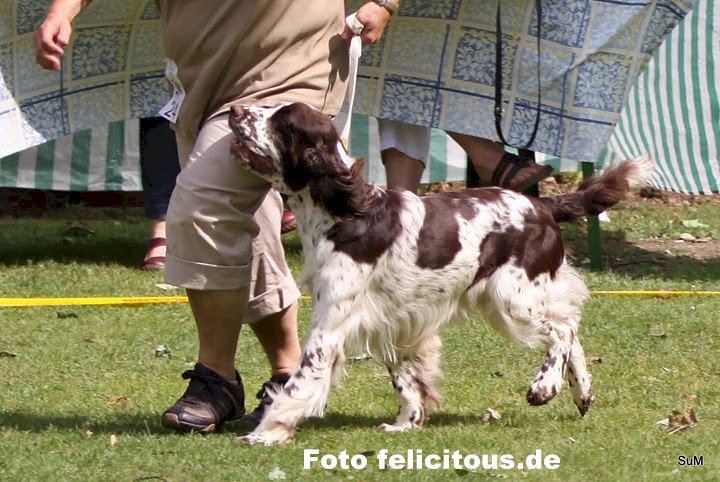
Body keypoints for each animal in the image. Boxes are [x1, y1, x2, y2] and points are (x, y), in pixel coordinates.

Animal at [229, 101, 652, 444]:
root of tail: (542, 204)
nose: (234, 110)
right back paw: (583, 394)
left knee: (562, 331)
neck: (345, 213)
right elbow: (403, 376)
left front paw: (267, 430)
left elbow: (301, 378)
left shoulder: (330, 322)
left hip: (511, 300)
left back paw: (543, 387)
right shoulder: (389, 319)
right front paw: (407, 421)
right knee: (572, 327)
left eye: (281, 121)